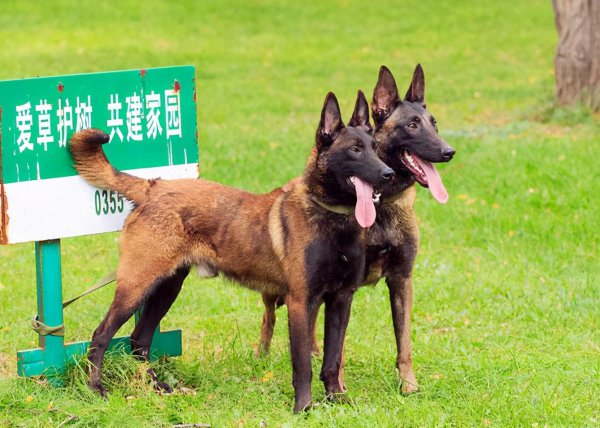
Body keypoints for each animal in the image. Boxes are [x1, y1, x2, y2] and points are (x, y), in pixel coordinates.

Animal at [69, 91, 394, 412]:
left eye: (375, 148)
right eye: (355, 150)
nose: (389, 174)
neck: (331, 217)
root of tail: (154, 187)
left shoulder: (341, 301)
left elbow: (332, 359)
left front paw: (336, 399)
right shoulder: (301, 304)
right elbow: (303, 364)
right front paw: (303, 408)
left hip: (167, 287)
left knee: (139, 340)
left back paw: (156, 387)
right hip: (138, 286)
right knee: (101, 335)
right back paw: (95, 388)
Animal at [256, 65, 454, 396]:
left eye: (434, 124)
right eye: (413, 125)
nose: (449, 151)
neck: (380, 205)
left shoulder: (401, 279)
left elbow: (404, 341)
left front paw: (408, 384)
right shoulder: (346, 287)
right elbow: (339, 347)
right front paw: (338, 386)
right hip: (277, 287)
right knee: (270, 315)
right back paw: (262, 352)